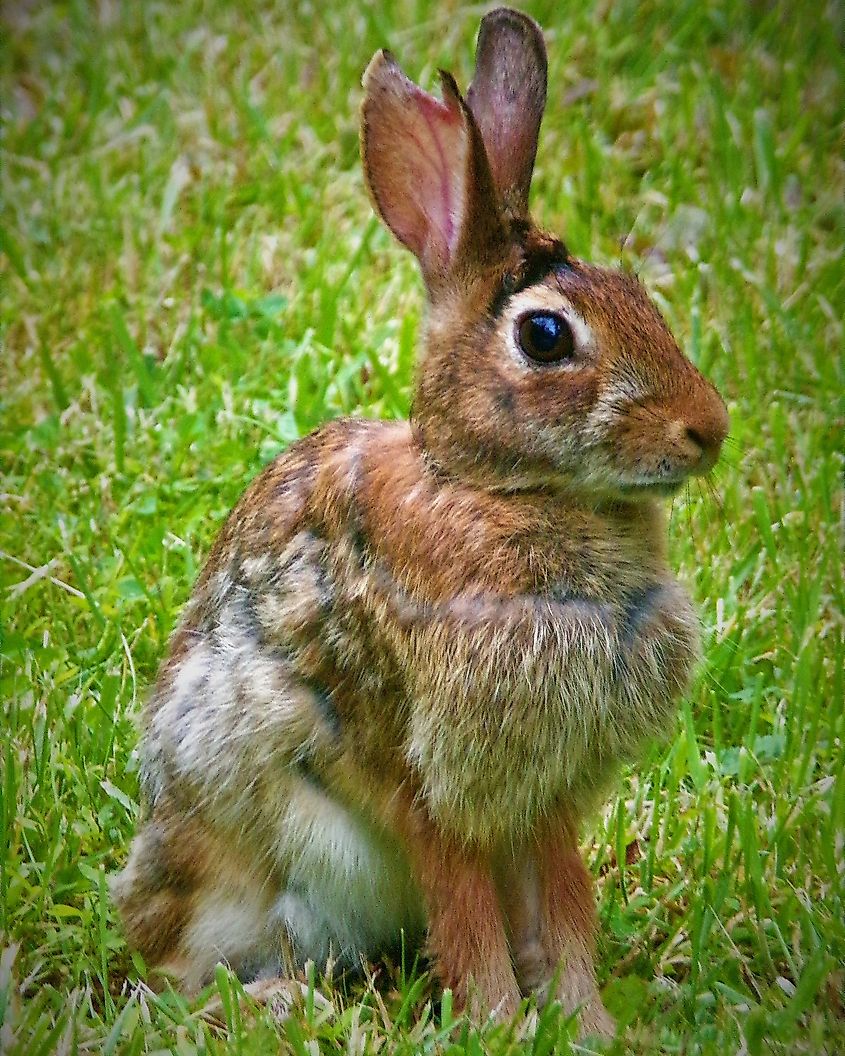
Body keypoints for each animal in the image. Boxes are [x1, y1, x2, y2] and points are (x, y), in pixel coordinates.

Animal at [111, 8, 730, 1043]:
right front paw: (499, 1025)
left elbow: (561, 901)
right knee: (173, 974)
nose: (708, 429)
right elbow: (467, 909)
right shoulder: (427, 774)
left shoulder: (543, 784)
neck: (497, 488)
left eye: (639, 294)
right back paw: (272, 1001)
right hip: (238, 861)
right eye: (545, 336)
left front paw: (585, 1025)